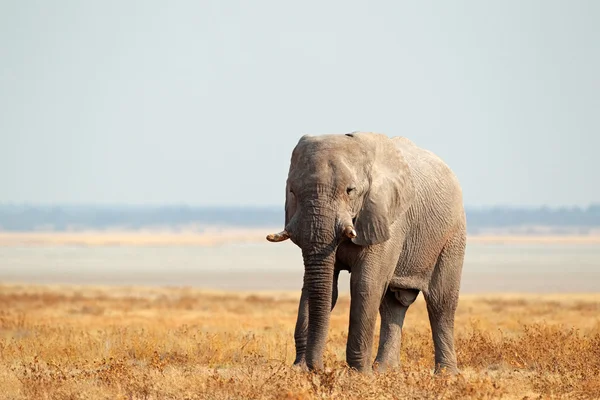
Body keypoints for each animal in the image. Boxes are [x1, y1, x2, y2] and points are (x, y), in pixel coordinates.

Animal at [264, 132, 466, 376]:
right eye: (292, 191)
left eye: (350, 191)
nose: (319, 368)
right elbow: (318, 287)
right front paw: (299, 371)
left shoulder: (387, 217)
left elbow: (365, 285)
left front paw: (359, 375)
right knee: (392, 305)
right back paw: (385, 371)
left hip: (452, 234)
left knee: (440, 302)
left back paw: (446, 376)